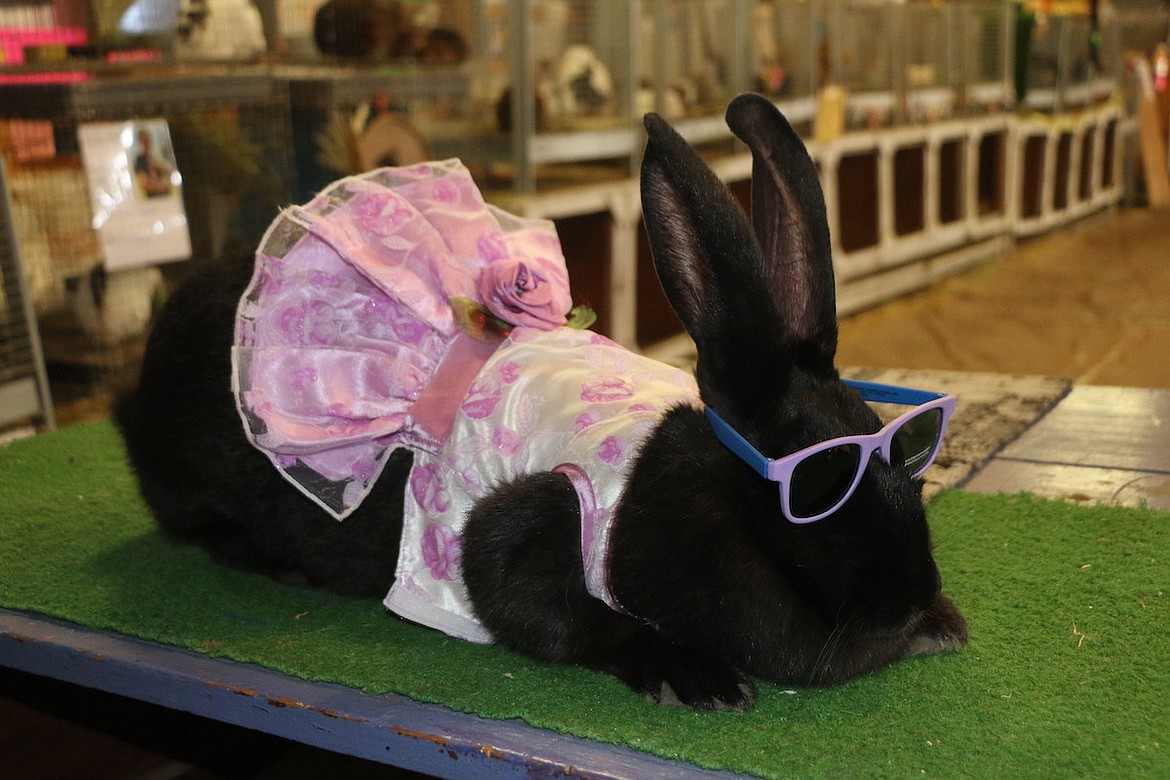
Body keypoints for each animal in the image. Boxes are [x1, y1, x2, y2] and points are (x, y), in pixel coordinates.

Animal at [114, 94, 964, 711]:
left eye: (904, 450)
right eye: (819, 487)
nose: (911, 598)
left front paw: (941, 628)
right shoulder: (527, 529)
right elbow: (571, 622)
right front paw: (694, 676)